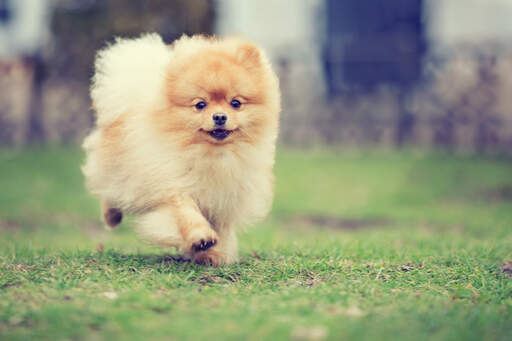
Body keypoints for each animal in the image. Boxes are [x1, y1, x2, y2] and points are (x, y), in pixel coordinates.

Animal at [81, 33, 280, 264]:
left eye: (236, 103)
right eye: (200, 105)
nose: (220, 117)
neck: (213, 156)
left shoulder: (224, 200)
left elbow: (221, 231)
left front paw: (213, 255)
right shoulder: (172, 184)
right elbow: (185, 212)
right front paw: (201, 238)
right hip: (117, 170)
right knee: (110, 192)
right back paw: (111, 217)